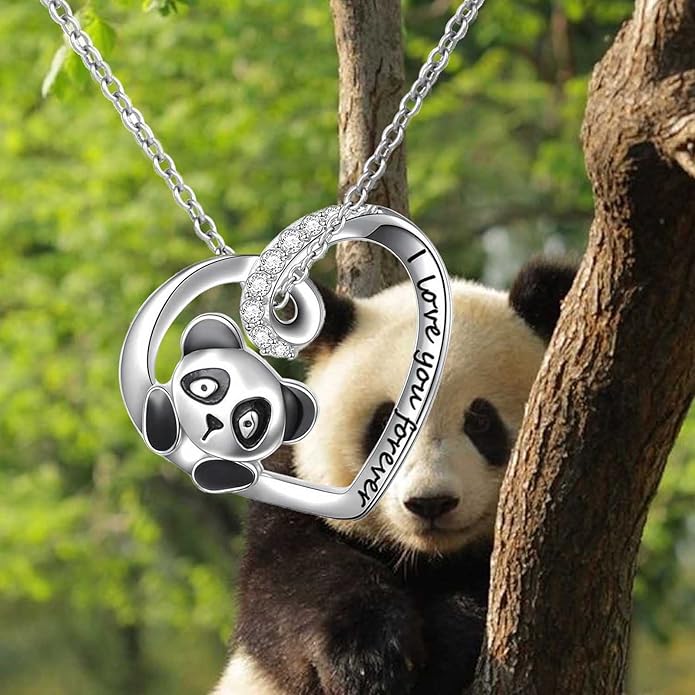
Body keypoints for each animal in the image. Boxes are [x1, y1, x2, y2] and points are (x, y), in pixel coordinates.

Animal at [213, 257, 576, 695]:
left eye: (480, 420)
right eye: (387, 421)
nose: (430, 503)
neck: (425, 558)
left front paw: (440, 652)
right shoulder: (291, 496)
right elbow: (290, 583)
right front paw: (369, 659)